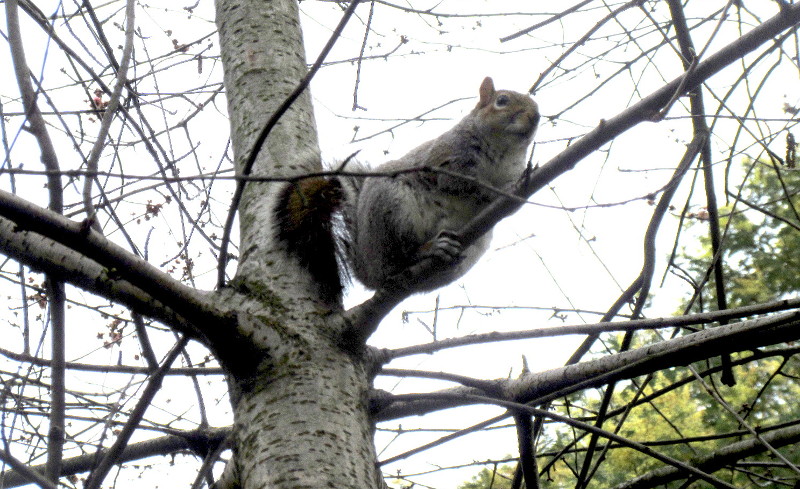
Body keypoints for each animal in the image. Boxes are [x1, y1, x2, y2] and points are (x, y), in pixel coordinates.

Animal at [272, 77, 540, 302]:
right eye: (502, 100)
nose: (536, 117)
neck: (502, 151)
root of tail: (368, 272)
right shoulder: (445, 159)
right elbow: (460, 183)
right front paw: (491, 192)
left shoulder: (510, 170)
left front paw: (515, 190)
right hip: (392, 209)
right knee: (398, 260)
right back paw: (427, 250)